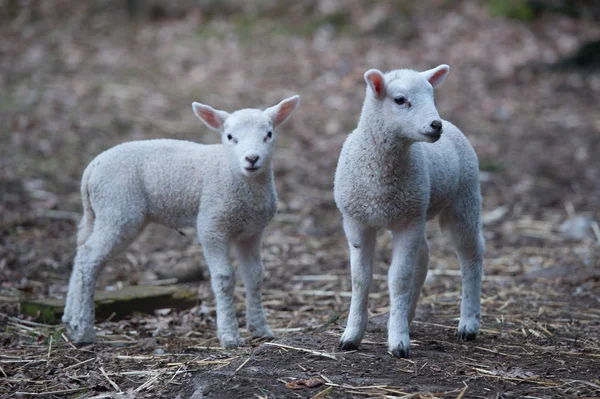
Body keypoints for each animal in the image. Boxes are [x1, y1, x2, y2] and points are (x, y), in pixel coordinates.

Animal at [62, 95, 300, 348]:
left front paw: (260, 329)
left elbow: (255, 276)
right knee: (89, 260)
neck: (231, 173)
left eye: (269, 134)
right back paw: (84, 331)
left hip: (100, 213)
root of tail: (90, 170)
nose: (252, 159)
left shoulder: (252, 232)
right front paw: (229, 335)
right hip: (118, 210)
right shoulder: (211, 225)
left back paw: (70, 320)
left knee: (81, 251)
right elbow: (224, 278)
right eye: (229, 137)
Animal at [336, 65, 486, 360]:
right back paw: (407, 315)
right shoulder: (357, 221)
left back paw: (468, 323)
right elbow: (360, 279)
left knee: (471, 256)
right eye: (400, 100)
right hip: (420, 210)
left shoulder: (407, 223)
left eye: (432, 95)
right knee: (424, 256)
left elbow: (398, 280)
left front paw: (398, 341)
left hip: (463, 200)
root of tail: (452, 124)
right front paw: (352, 335)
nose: (435, 125)